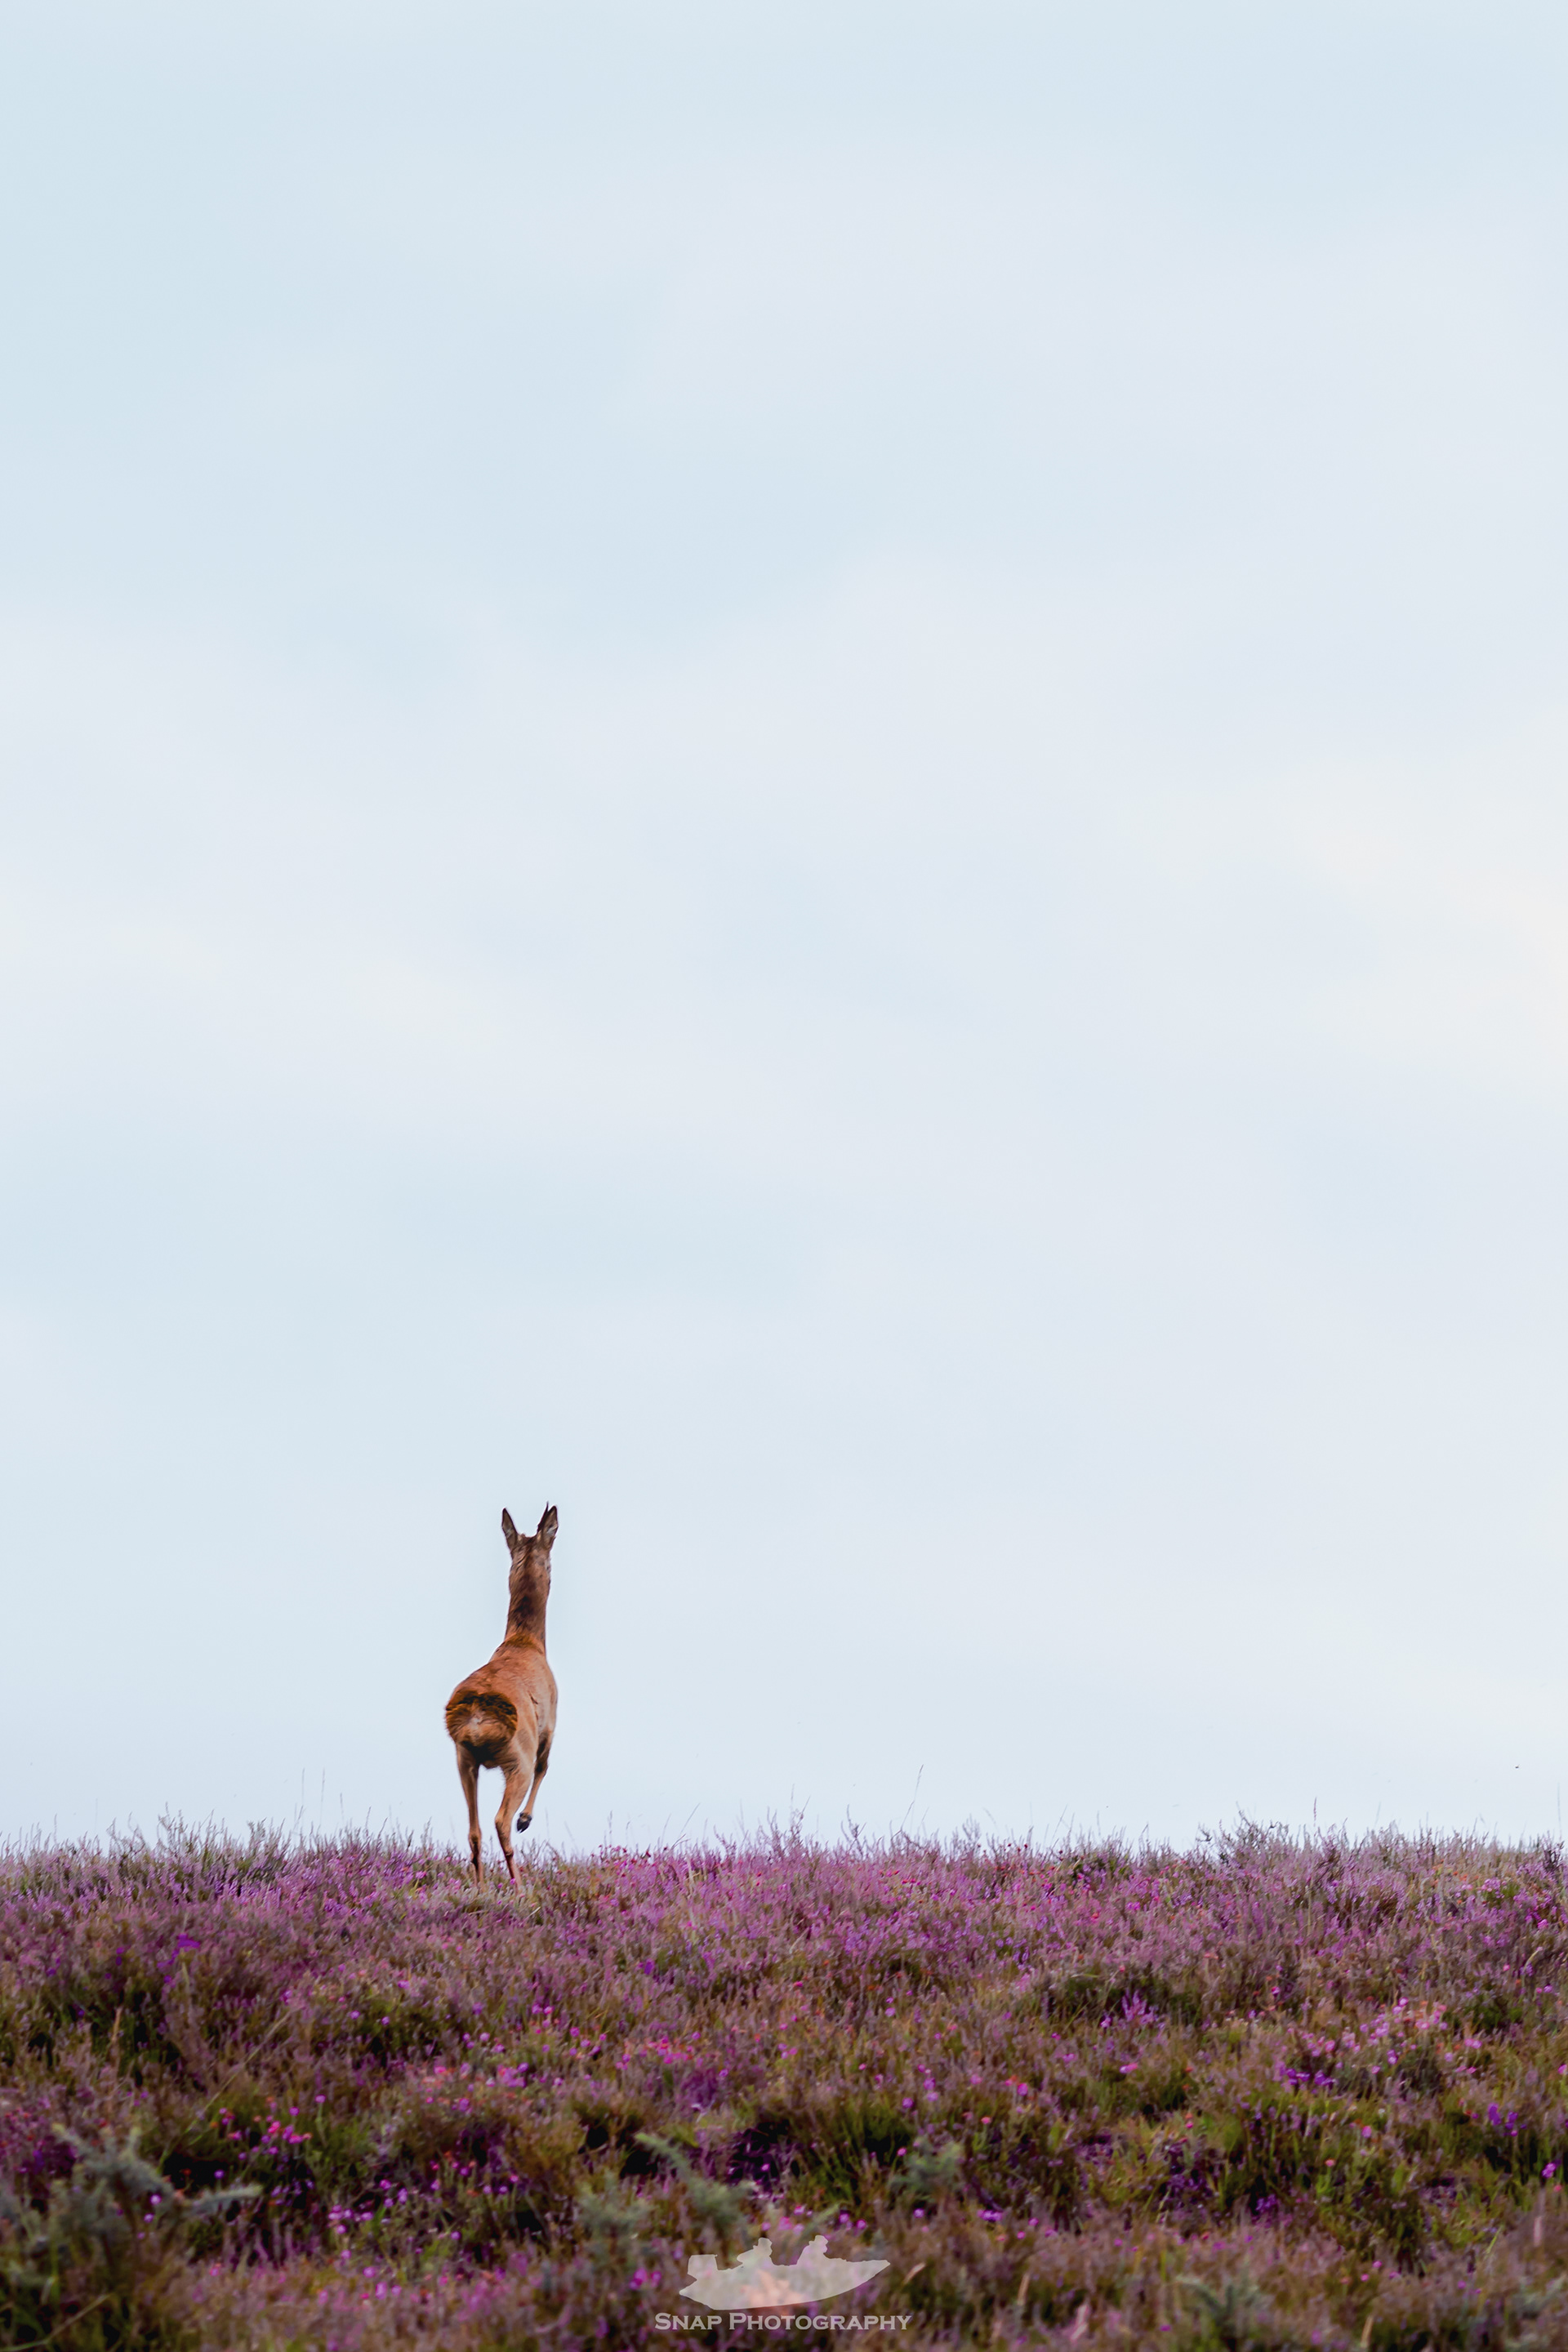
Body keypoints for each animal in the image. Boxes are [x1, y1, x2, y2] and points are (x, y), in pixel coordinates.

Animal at [444, 1504, 559, 1884]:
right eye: (551, 1565)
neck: (526, 1643)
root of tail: (478, 1715)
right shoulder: (550, 1724)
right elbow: (545, 1765)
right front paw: (527, 1819)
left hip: (464, 1759)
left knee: (474, 1831)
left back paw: (480, 1888)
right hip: (514, 1759)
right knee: (499, 1820)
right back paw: (520, 1887)